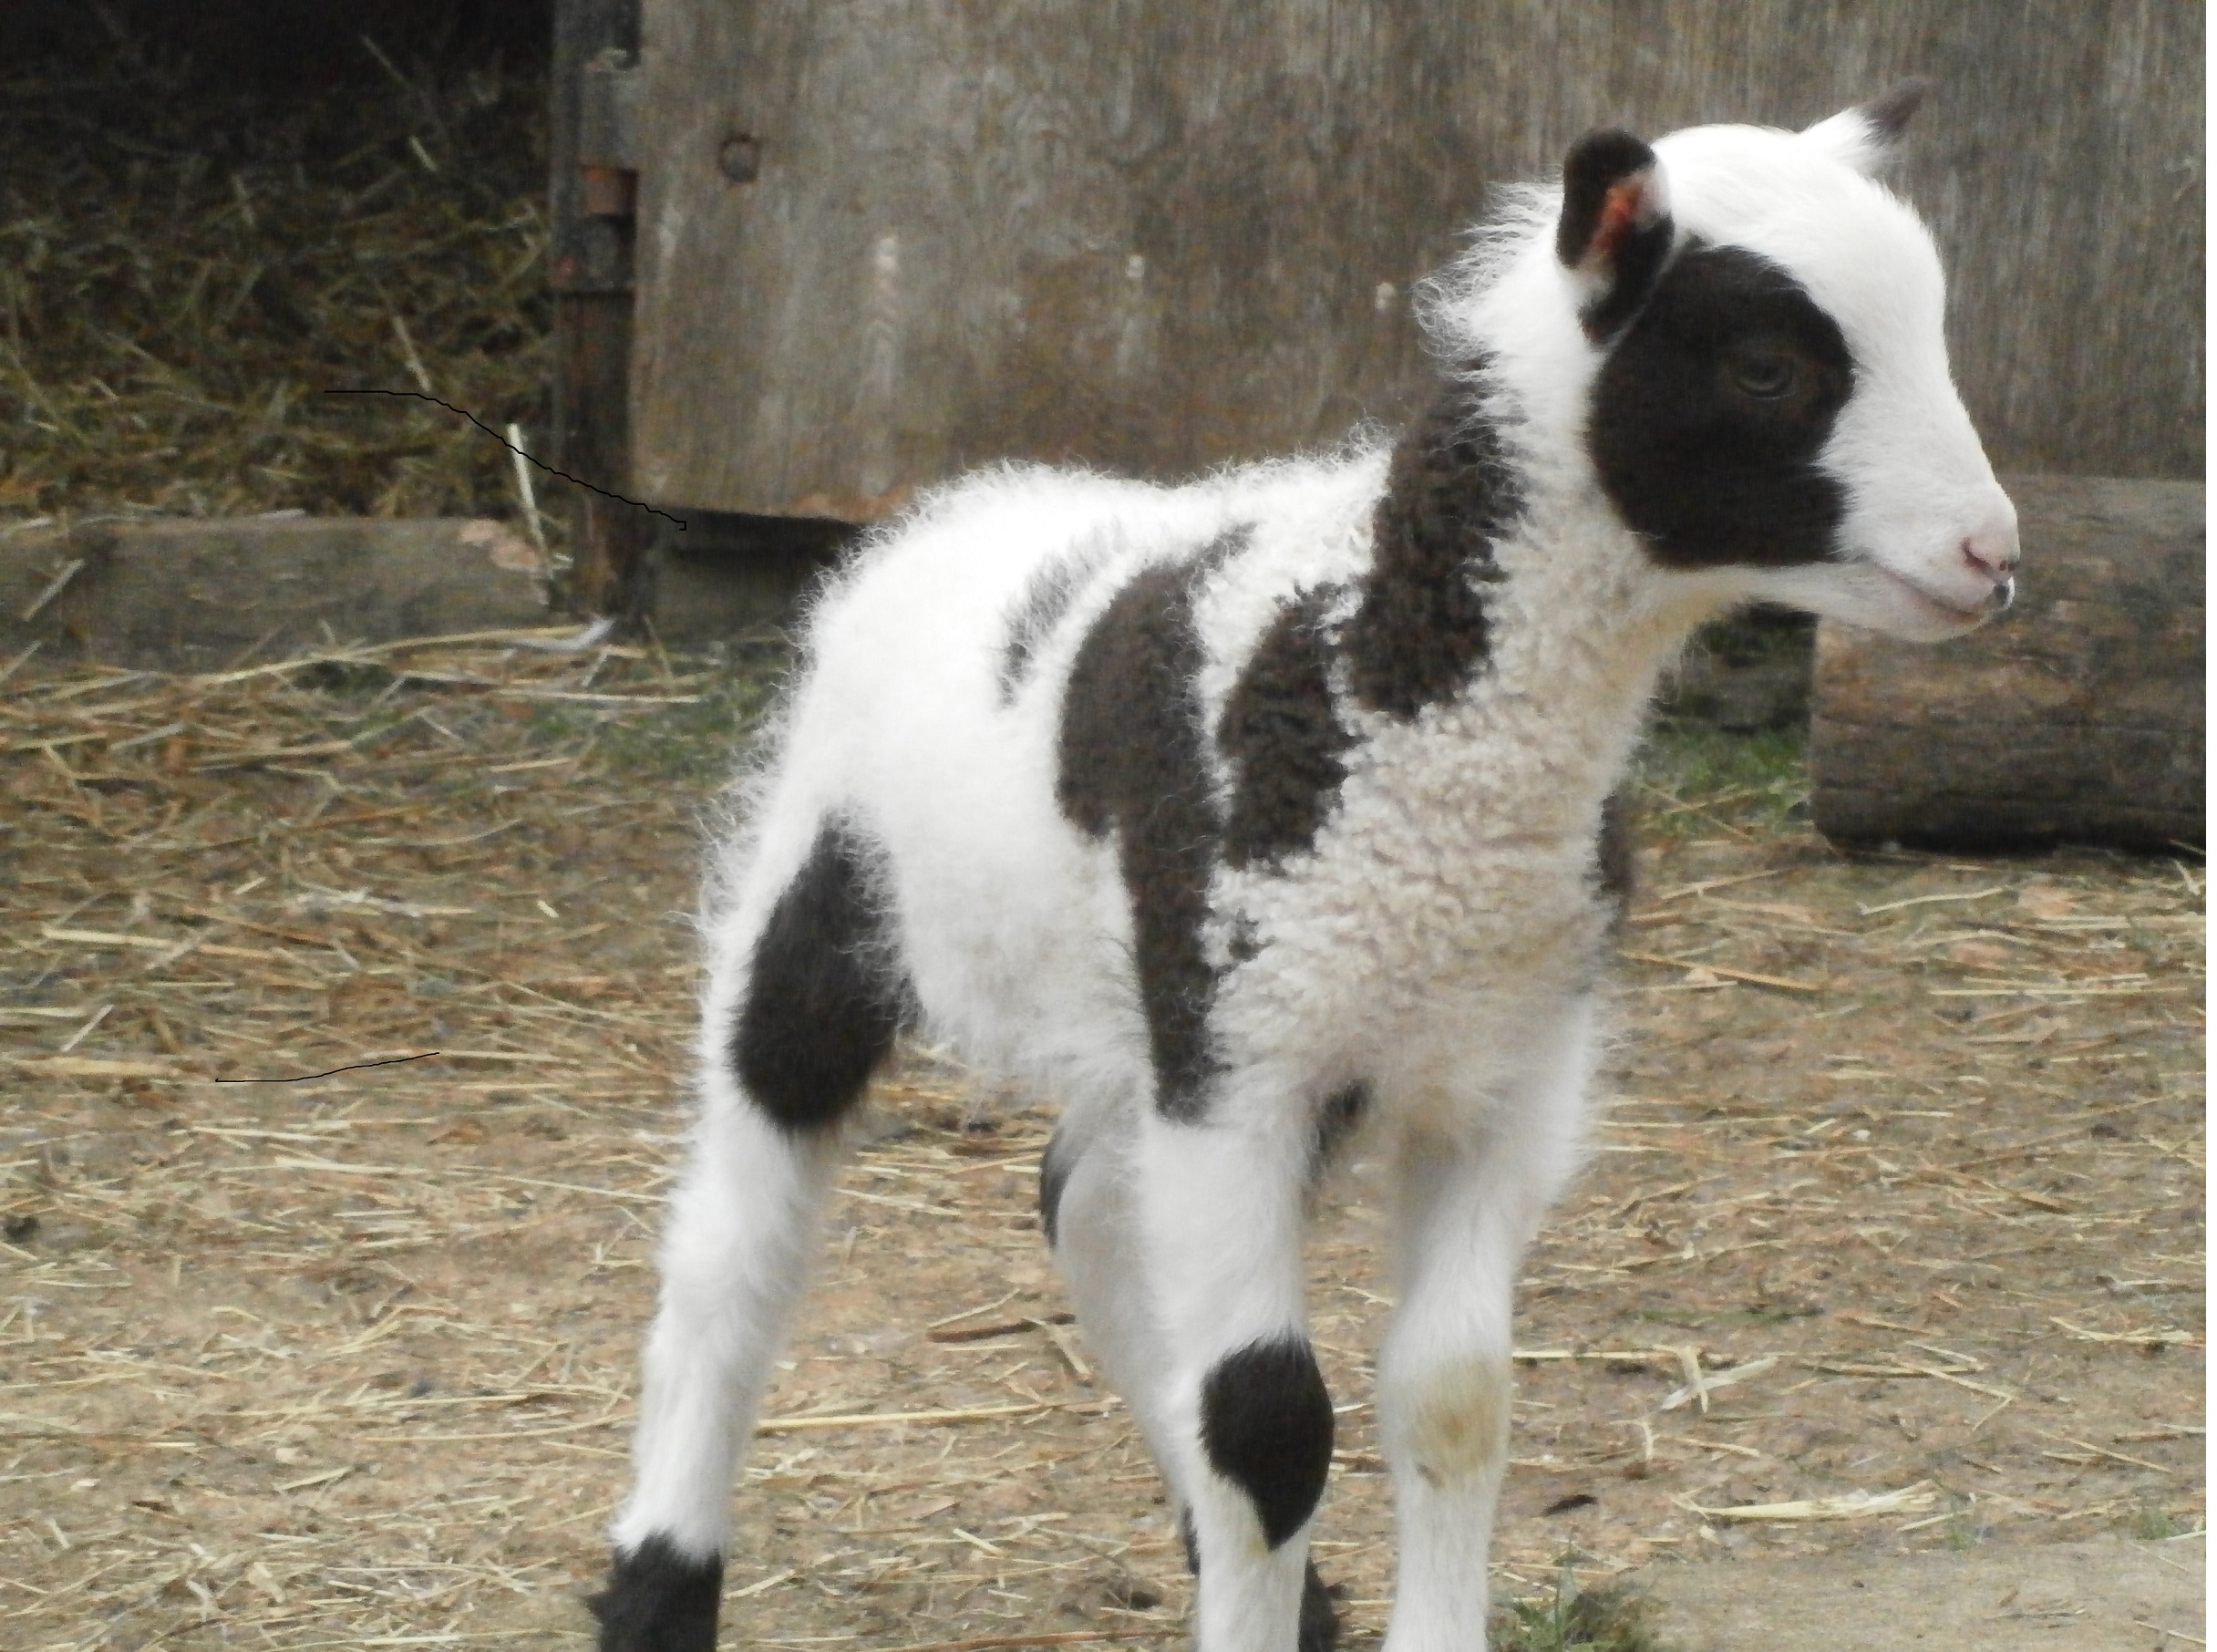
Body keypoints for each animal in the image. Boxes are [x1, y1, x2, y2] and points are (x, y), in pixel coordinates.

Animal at [590, 86, 2019, 1652]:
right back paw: (659, 1583)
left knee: (1088, 1212)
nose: (1991, 555)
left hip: (1157, 1009)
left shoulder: (1492, 1065)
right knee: (734, 1253)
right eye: (1768, 367)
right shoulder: (1246, 1062)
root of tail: (957, 507)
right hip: (828, 890)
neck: (1387, 678)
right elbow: (1272, 1424)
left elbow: (1450, 1397)